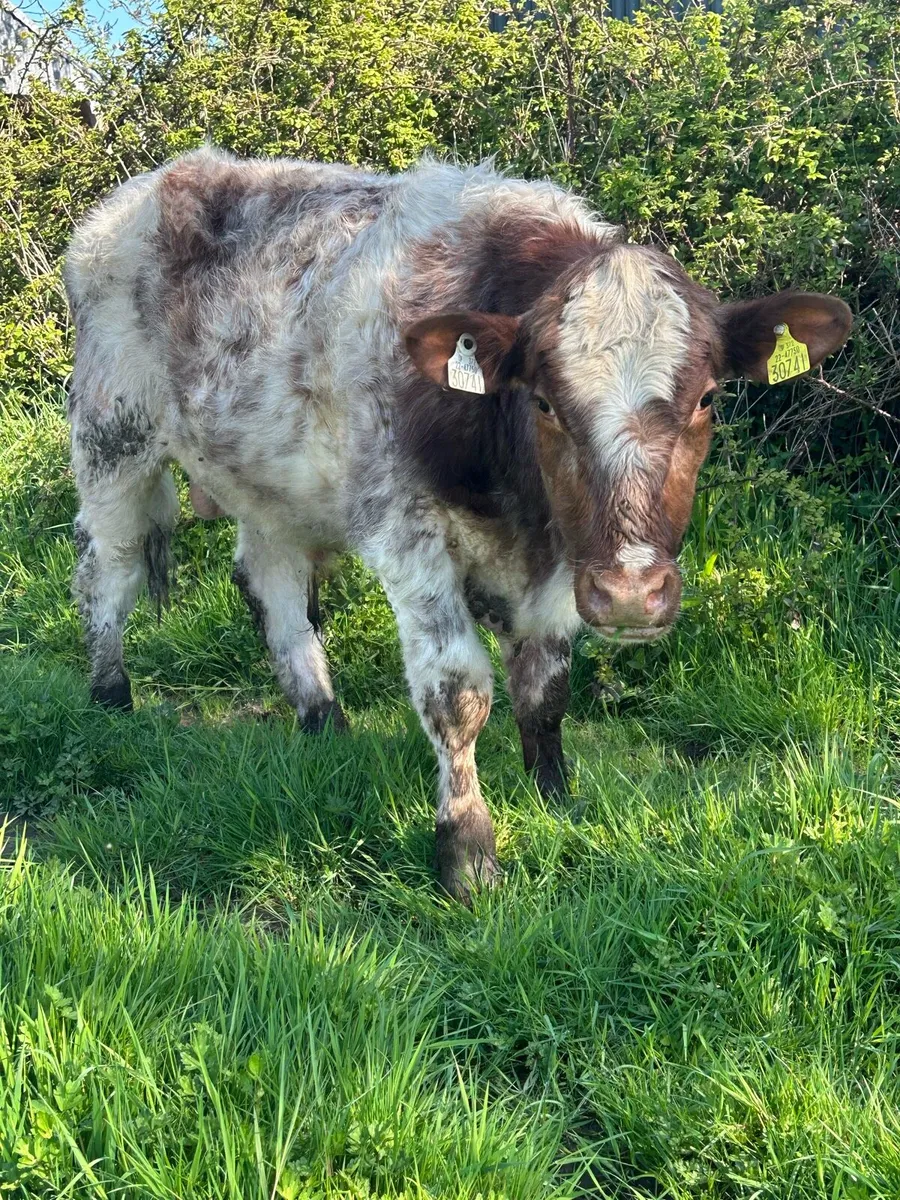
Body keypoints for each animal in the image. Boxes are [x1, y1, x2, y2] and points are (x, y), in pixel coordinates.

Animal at [64, 148, 852, 901]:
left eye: (708, 398)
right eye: (543, 402)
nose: (633, 593)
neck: (515, 504)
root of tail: (144, 189)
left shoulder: (562, 561)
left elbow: (545, 686)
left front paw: (555, 796)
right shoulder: (407, 538)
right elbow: (458, 693)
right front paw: (467, 851)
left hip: (270, 480)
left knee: (275, 588)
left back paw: (323, 720)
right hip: (113, 439)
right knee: (109, 570)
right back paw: (110, 698)